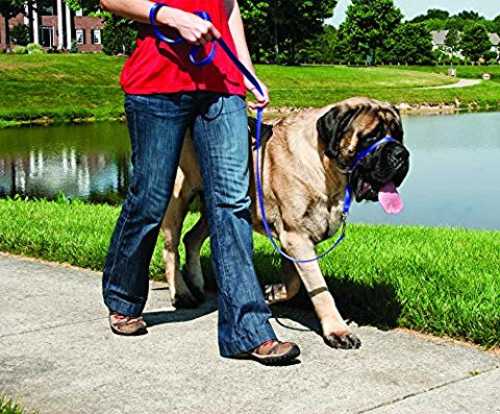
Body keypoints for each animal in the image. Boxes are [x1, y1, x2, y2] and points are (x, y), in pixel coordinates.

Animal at [160, 97, 410, 349]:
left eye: (399, 135)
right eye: (371, 137)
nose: (402, 154)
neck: (324, 166)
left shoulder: (294, 241)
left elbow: (294, 283)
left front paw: (272, 292)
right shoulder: (295, 237)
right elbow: (320, 290)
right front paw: (338, 331)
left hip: (218, 206)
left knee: (191, 238)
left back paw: (197, 283)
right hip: (178, 198)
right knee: (171, 248)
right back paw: (181, 293)